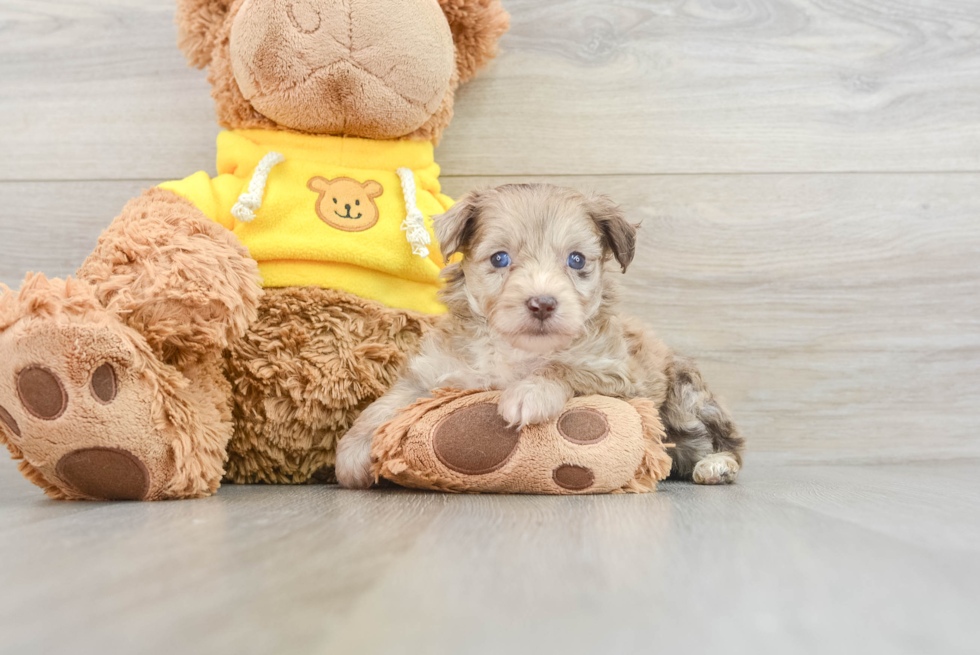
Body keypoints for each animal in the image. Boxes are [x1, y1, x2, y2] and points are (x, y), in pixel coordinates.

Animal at [336, 182, 744, 490]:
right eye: (499, 259)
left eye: (576, 260)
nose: (542, 303)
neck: (517, 350)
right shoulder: (434, 370)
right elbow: (388, 402)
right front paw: (353, 451)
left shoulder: (619, 376)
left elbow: (565, 367)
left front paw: (530, 392)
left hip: (683, 398)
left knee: (723, 440)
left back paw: (718, 465)